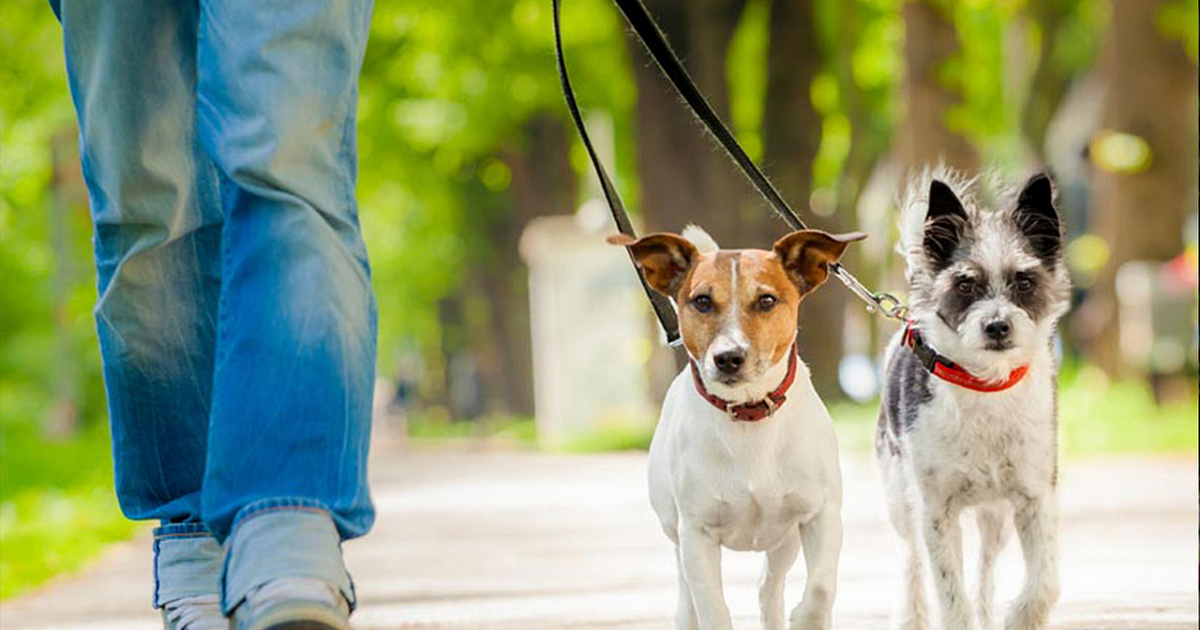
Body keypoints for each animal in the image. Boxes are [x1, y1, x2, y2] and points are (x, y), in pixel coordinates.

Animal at [609, 225, 864, 628]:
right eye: (701, 301)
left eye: (766, 300)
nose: (728, 357)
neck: (748, 414)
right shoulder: (696, 535)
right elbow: (713, 609)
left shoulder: (821, 515)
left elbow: (822, 589)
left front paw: (805, 618)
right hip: (678, 538)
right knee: (688, 601)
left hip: (784, 540)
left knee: (768, 586)